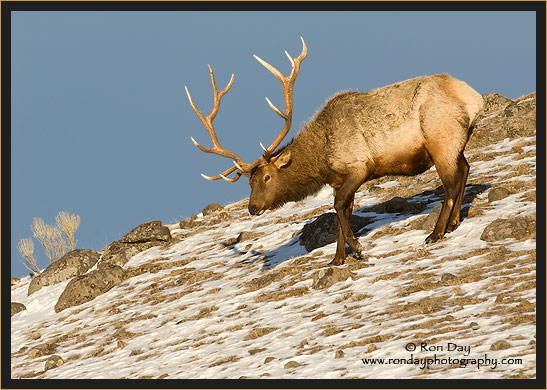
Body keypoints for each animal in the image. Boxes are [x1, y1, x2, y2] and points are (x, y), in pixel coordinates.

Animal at [185, 38, 484, 266]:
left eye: (267, 177)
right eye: (249, 182)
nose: (252, 207)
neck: (323, 160)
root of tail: (473, 98)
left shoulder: (359, 166)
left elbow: (339, 206)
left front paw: (357, 248)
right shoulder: (339, 179)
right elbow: (344, 211)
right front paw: (338, 258)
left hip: (441, 139)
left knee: (450, 183)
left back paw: (436, 233)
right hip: (457, 140)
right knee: (465, 169)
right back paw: (454, 223)